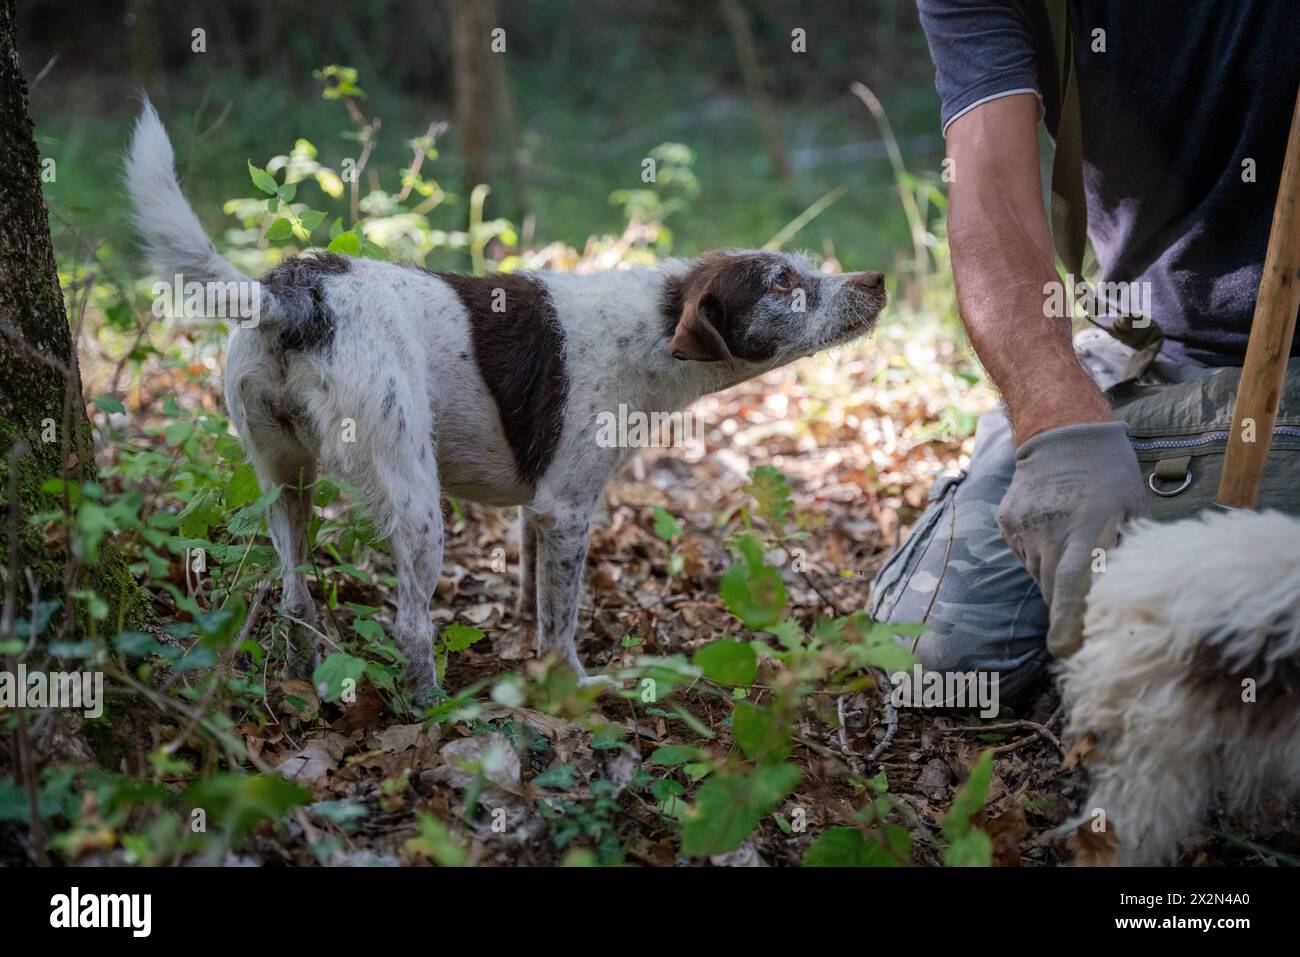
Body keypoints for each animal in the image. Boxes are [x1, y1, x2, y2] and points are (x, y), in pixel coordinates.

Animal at [126, 102, 889, 702]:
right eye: (782, 281)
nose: (878, 279)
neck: (652, 328)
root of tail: (295, 290)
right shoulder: (568, 508)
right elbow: (562, 626)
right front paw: (571, 688)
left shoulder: (538, 506)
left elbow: (533, 595)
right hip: (416, 500)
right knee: (410, 623)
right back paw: (430, 708)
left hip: (284, 481)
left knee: (295, 598)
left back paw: (300, 676)